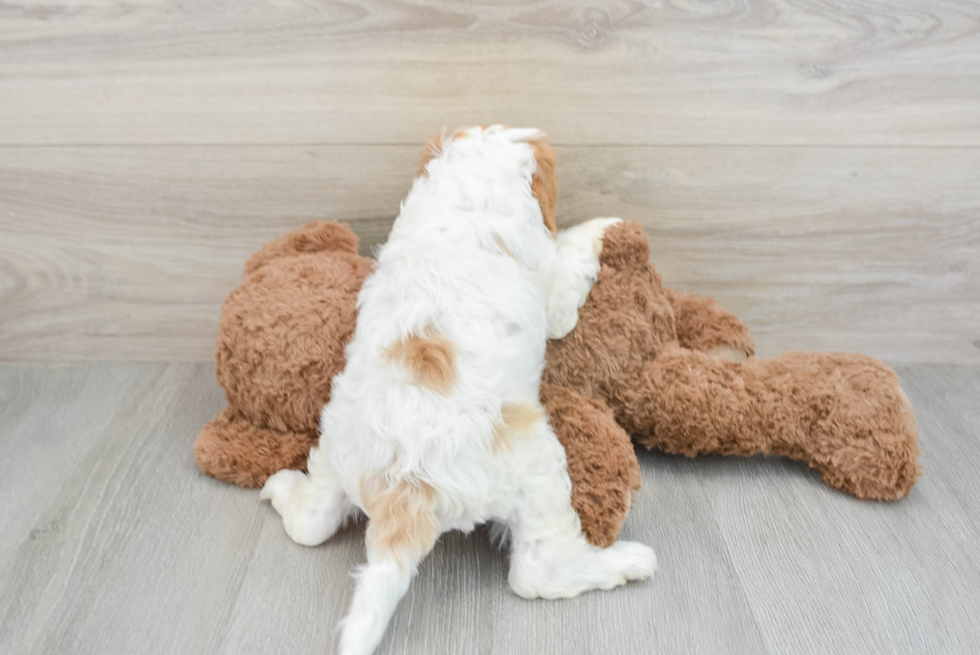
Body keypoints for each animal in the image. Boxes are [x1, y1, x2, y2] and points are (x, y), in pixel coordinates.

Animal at [260, 124, 660, 655]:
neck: (466, 196)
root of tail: (403, 490)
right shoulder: (551, 291)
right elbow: (567, 267)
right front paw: (602, 224)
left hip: (336, 450)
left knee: (312, 523)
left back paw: (281, 490)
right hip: (536, 468)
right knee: (537, 574)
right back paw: (627, 562)